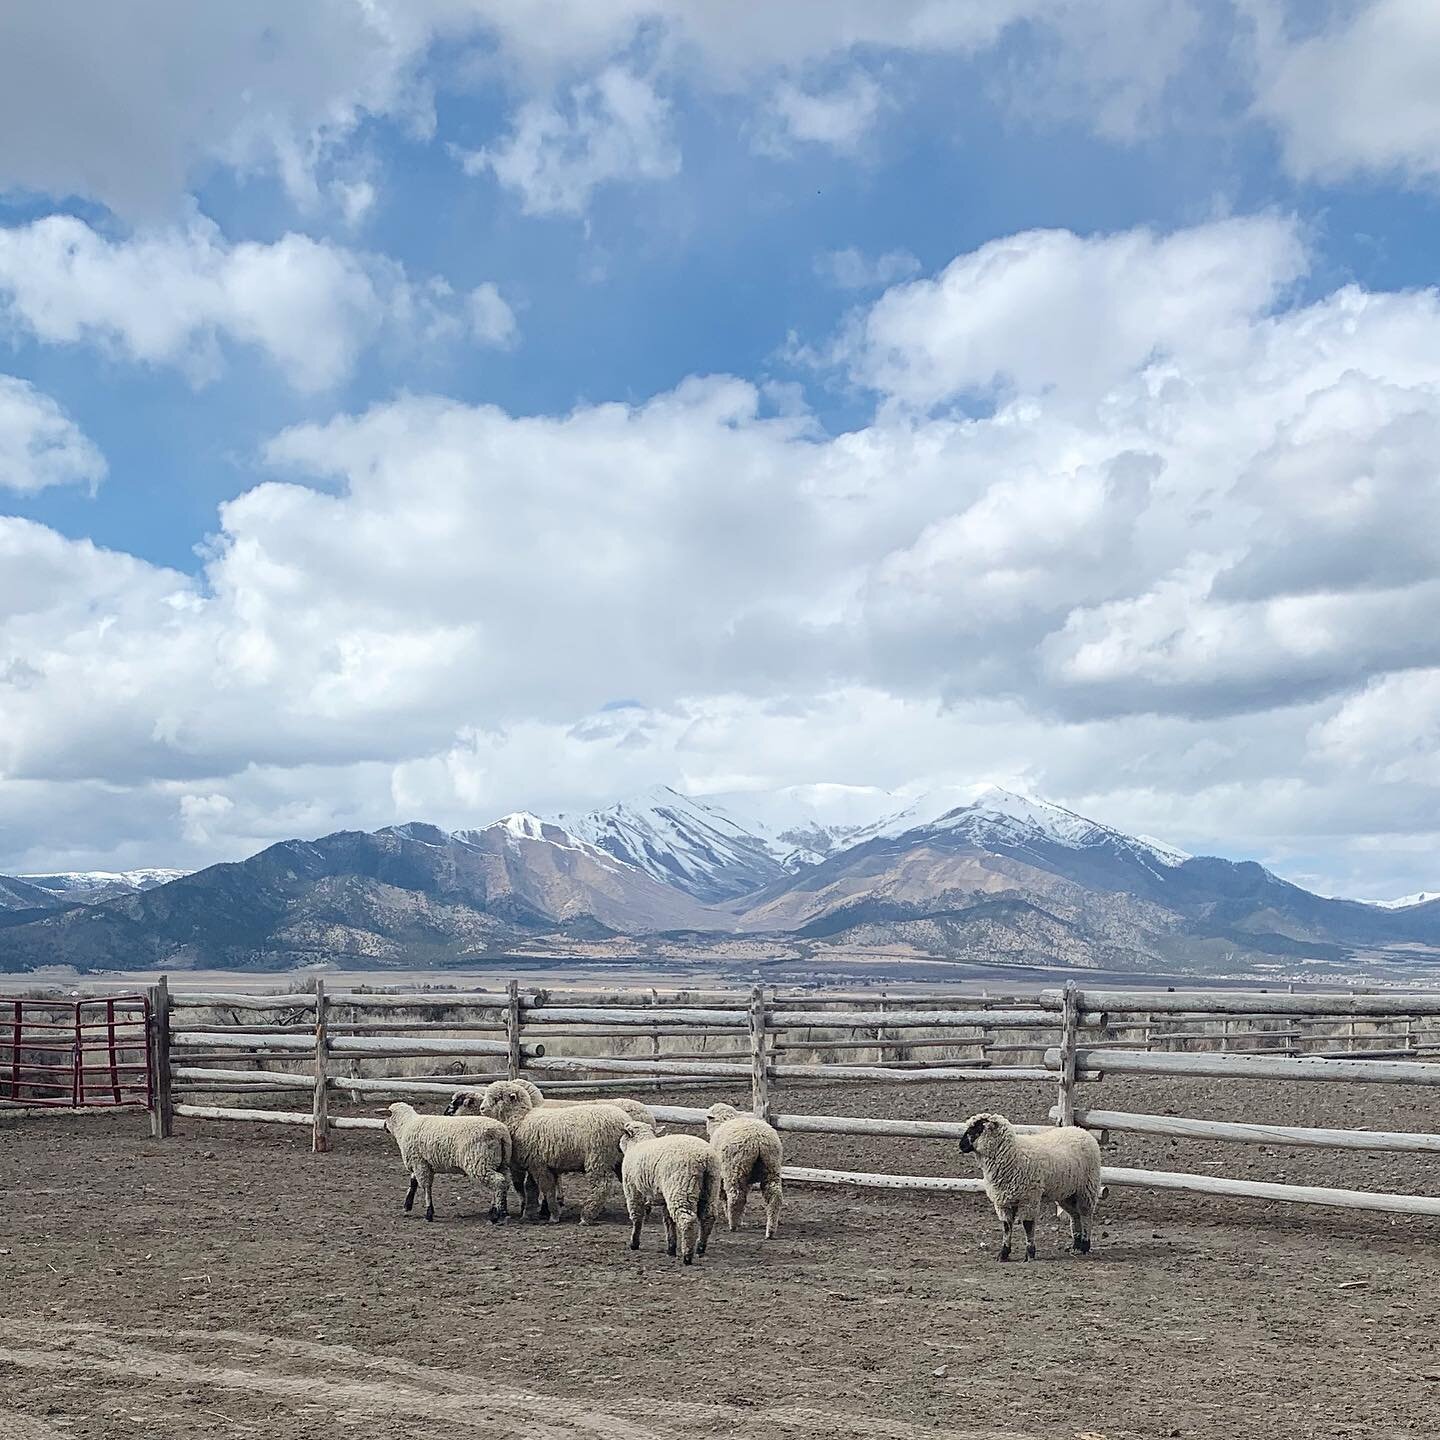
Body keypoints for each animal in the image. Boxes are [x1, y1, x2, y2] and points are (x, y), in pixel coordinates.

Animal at [382, 1101, 512, 1224]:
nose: (384, 1126)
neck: (405, 1126)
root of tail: (501, 1133)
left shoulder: (419, 1163)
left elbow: (426, 1187)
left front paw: (429, 1213)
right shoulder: (420, 1162)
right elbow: (413, 1182)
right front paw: (407, 1205)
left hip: (480, 1162)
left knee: (498, 1182)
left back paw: (496, 1214)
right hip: (501, 1163)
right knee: (504, 1182)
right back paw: (500, 1210)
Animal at [444, 1082, 657, 1217]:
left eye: (497, 1098)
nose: (482, 1109)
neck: (520, 1120)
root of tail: (624, 1121)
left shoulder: (531, 1163)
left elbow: (527, 1186)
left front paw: (540, 1210)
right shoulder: (540, 1161)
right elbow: (535, 1187)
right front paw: (539, 1209)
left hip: (598, 1157)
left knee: (602, 1186)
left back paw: (588, 1214)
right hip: (620, 1159)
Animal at [619, 1122, 721, 1265]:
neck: (638, 1143)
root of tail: (704, 1157)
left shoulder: (632, 1190)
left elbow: (637, 1217)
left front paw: (634, 1243)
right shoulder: (664, 1199)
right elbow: (668, 1222)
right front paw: (671, 1248)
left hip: (681, 1187)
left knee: (687, 1220)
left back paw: (687, 1256)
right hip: (711, 1187)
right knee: (708, 1217)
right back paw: (700, 1248)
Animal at [704, 1102, 783, 1238]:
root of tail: (758, 1139)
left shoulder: (721, 1174)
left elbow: (724, 1196)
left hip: (734, 1169)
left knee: (736, 1196)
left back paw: (733, 1225)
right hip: (771, 1166)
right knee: (774, 1196)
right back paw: (770, 1230)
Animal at [957, 1111, 1103, 1261]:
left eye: (977, 1129)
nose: (961, 1145)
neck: (1012, 1155)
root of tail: (1080, 1130)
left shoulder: (1029, 1198)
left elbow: (1027, 1225)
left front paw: (1030, 1253)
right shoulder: (1003, 1201)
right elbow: (1006, 1226)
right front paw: (1003, 1253)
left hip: (1087, 1188)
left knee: (1086, 1215)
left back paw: (1085, 1245)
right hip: (1066, 1193)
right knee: (1075, 1215)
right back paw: (1076, 1245)